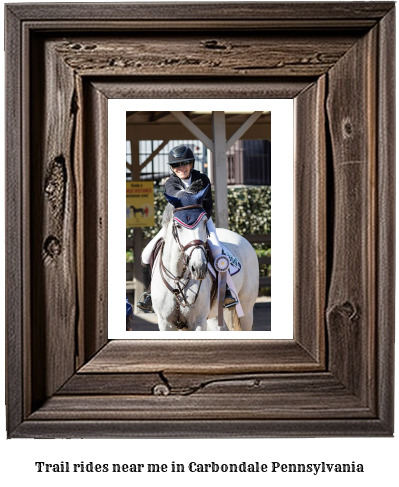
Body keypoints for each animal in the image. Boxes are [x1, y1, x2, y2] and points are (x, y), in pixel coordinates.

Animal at [151, 187, 260, 332]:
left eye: (204, 222)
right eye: (178, 226)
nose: (199, 268)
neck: (177, 278)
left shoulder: (198, 322)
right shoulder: (165, 323)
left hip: (246, 309)